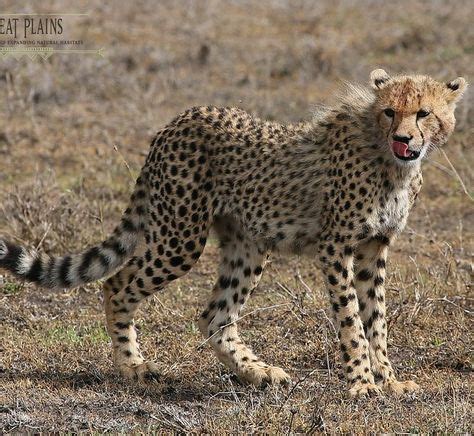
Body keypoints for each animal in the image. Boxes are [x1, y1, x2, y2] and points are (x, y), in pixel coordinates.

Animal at [0, 69, 466, 398]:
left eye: (423, 113)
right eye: (389, 111)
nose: (404, 138)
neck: (389, 161)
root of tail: (179, 119)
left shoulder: (374, 247)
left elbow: (376, 319)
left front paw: (388, 379)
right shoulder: (336, 247)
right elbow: (352, 318)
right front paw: (362, 384)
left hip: (248, 244)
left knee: (214, 314)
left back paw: (257, 372)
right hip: (180, 236)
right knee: (117, 284)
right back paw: (133, 367)